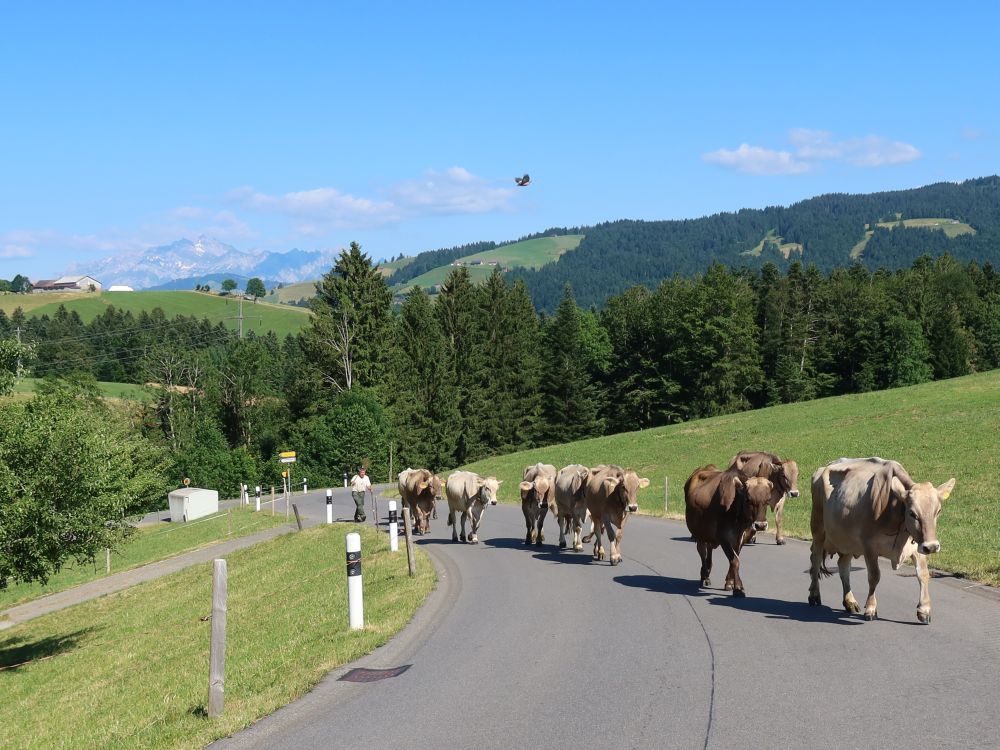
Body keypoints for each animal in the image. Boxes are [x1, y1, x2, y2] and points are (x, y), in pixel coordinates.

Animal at [688, 464, 772, 600]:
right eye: (748, 499)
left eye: (768, 499)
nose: (760, 525)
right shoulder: (723, 538)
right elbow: (735, 561)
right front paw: (738, 588)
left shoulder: (741, 539)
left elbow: (734, 560)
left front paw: (730, 583)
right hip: (700, 533)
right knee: (702, 552)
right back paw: (705, 575)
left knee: (709, 550)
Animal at [804, 458, 952, 624]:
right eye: (912, 513)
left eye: (938, 511)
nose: (932, 547)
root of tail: (824, 467)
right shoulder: (869, 546)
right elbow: (874, 576)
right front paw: (870, 608)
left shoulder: (918, 546)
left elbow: (923, 575)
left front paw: (924, 610)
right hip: (818, 529)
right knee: (816, 560)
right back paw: (814, 594)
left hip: (848, 541)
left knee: (843, 566)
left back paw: (850, 601)